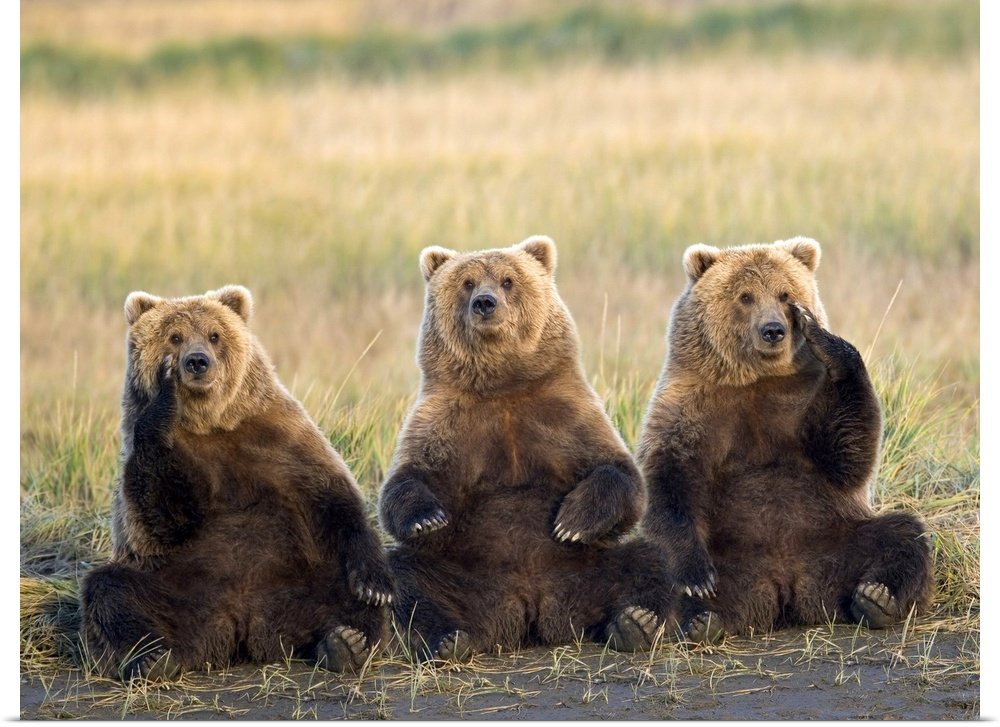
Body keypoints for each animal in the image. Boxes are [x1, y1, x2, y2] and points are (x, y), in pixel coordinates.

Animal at [80, 285, 392, 680]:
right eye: (175, 337)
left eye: (214, 334)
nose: (197, 361)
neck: (209, 422)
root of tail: (240, 626)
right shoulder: (161, 452)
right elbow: (161, 515)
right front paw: (166, 393)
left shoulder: (275, 438)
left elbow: (332, 495)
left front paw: (373, 585)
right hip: (175, 587)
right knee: (111, 591)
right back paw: (153, 658)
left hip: (297, 580)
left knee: (340, 592)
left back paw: (345, 643)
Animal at [378, 236, 677, 662]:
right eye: (467, 282)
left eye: (508, 280)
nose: (485, 303)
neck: (503, 386)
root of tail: (530, 606)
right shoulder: (445, 421)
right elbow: (408, 479)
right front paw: (427, 518)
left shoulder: (563, 414)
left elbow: (618, 472)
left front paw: (572, 522)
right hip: (464, 574)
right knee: (407, 578)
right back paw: (449, 639)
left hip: (588, 567)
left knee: (648, 560)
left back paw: (635, 623)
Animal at [636, 237, 934, 643]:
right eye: (745, 296)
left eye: (785, 294)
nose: (773, 329)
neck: (755, 380)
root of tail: (785, 584)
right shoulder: (690, 406)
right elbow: (670, 476)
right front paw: (696, 578)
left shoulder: (804, 401)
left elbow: (847, 453)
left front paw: (823, 338)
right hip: (738, 556)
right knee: (649, 567)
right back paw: (689, 620)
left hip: (834, 539)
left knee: (902, 535)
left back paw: (877, 598)